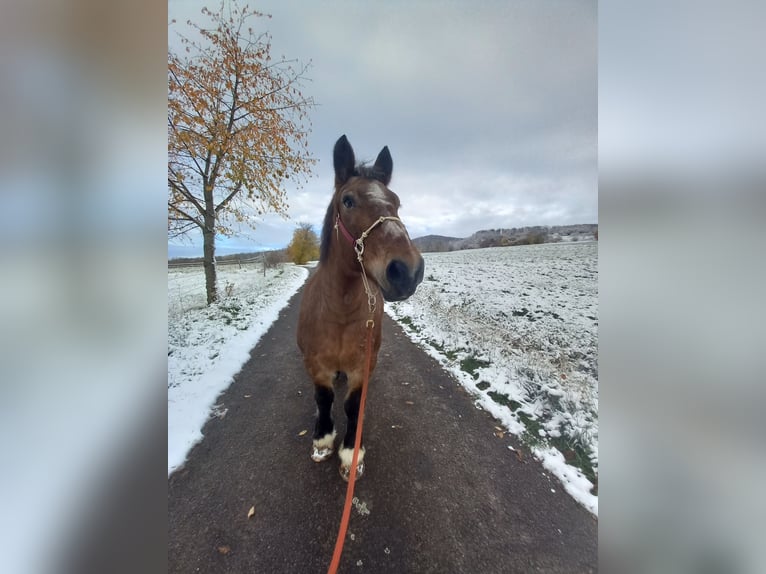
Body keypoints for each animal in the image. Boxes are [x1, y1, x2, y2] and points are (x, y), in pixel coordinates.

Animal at [296, 135, 426, 482]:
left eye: (396, 202)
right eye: (348, 201)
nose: (406, 271)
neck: (339, 314)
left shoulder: (362, 367)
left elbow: (353, 405)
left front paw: (350, 454)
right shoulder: (315, 365)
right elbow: (324, 398)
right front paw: (322, 440)